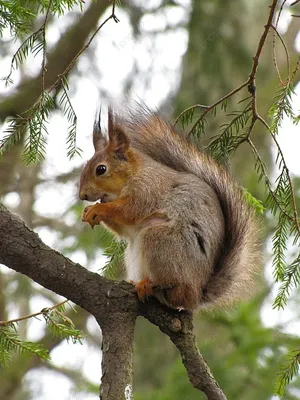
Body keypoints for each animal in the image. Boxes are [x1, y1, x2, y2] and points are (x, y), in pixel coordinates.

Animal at [79, 104, 260, 310]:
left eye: (101, 169)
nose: (82, 196)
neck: (136, 172)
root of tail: (197, 294)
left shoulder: (148, 189)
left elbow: (129, 210)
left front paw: (98, 210)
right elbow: (124, 228)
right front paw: (89, 212)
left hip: (161, 241)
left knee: (177, 292)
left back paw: (151, 285)